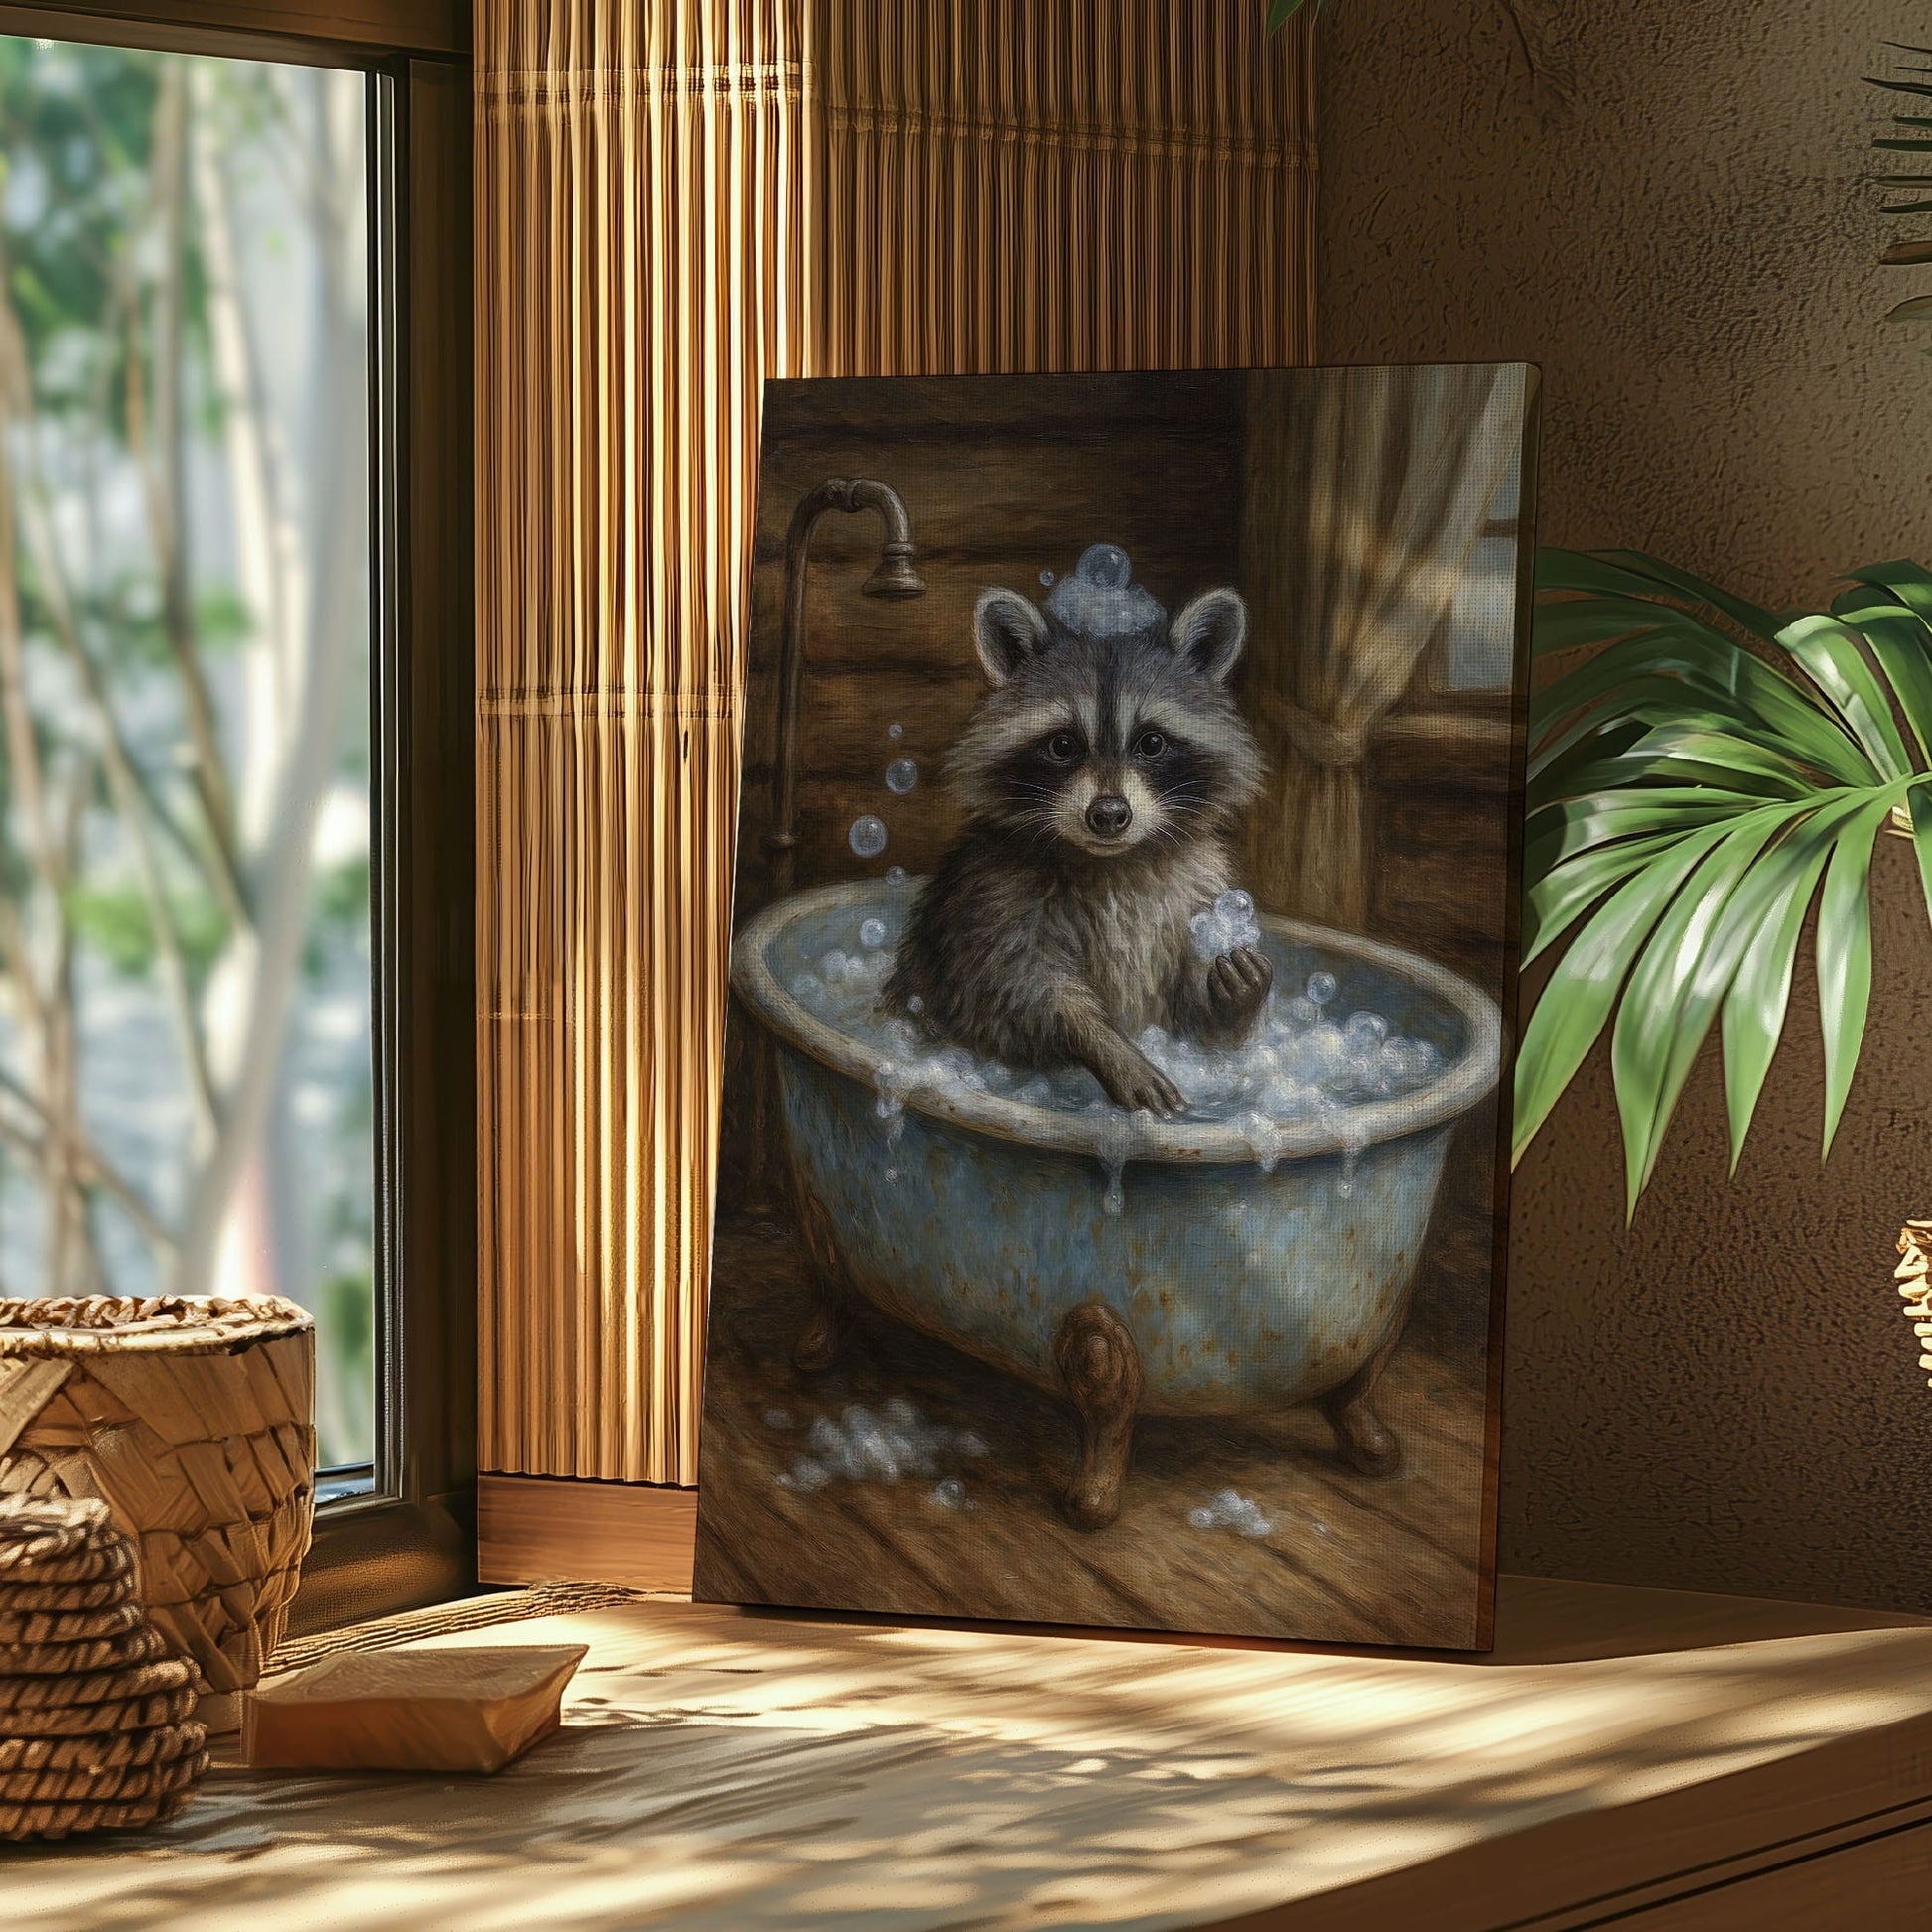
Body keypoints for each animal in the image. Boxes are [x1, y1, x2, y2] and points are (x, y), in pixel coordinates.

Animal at [884, 580, 1269, 1116]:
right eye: (1063, 745)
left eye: (1152, 743)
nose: (1108, 814)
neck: (1113, 860)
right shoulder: (991, 898)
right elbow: (1024, 988)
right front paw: (1106, 1044)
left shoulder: (1198, 892)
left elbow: (1196, 1023)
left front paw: (1234, 1000)